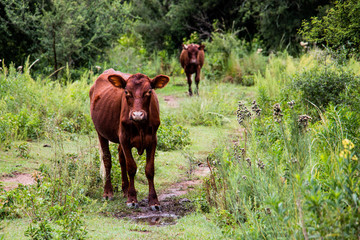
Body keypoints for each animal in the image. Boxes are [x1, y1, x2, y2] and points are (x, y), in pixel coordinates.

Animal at [89, 68, 169, 210]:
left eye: (149, 91)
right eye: (126, 92)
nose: (137, 115)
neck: (140, 125)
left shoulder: (153, 140)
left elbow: (149, 169)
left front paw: (154, 201)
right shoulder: (124, 139)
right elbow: (131, 167)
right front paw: (132, 199)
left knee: (121, 159)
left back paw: (125, 189)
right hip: (100, 132)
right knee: (107, 159)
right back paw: (108, 192)